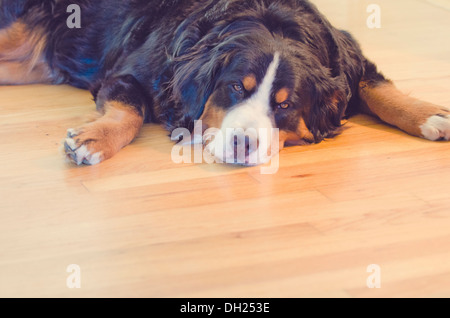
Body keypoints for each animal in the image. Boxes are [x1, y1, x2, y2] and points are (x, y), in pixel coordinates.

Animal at [0, 0, 448, 166]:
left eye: (284, 105)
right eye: (236, 87)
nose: (242, 144)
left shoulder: (347, 59)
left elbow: (378, 88)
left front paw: (430, 115)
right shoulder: (127, 75)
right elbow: (131, 108)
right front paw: (93, 139)